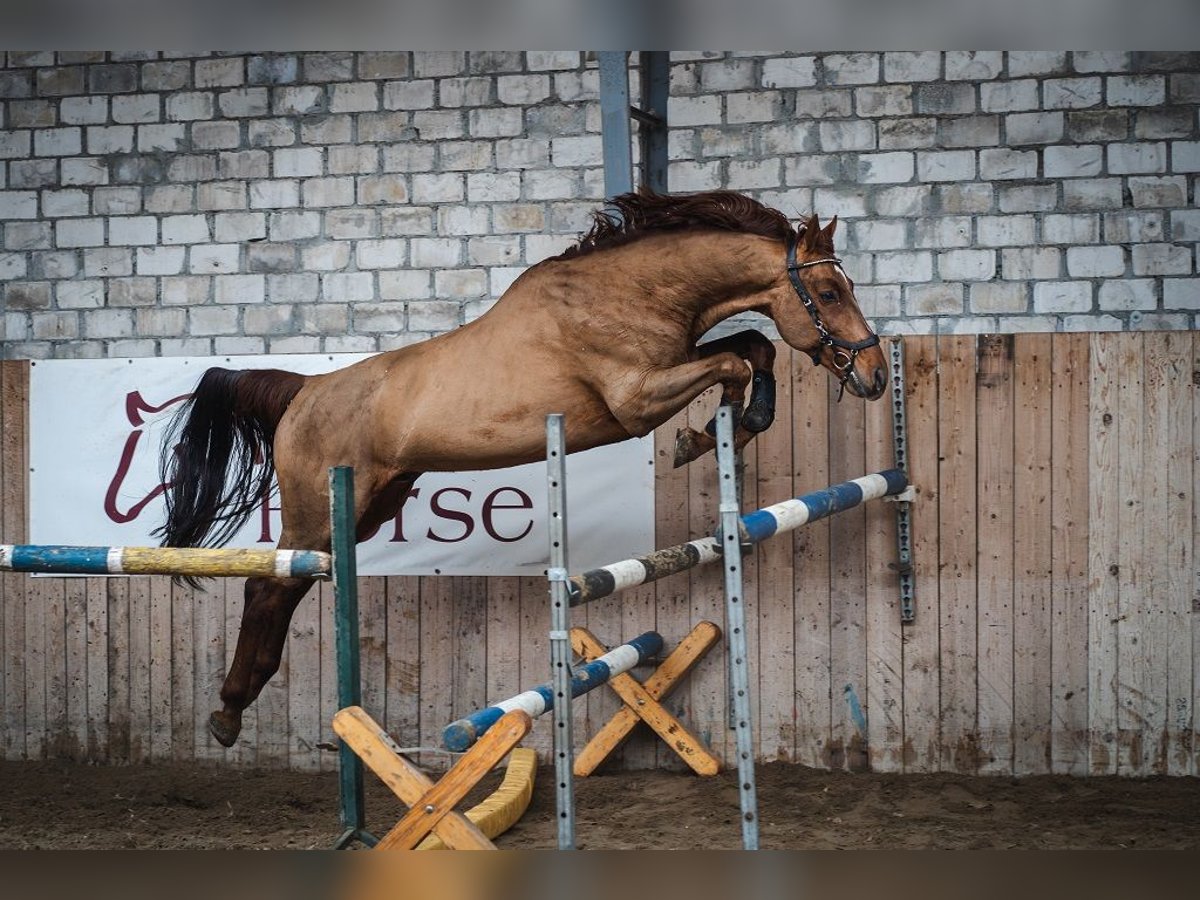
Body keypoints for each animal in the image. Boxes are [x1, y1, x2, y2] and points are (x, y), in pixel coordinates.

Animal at [157, 188, 892, 748]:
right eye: (829, 292)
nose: (876, 376)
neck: (633, 292)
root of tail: (304, 391)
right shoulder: (636, 400)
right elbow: (736, 359)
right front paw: (703, 437)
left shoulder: (676, 364)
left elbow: (752, 346)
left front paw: (738, 425)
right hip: (319, 508)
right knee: (267, 586)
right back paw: (228, 710)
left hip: (369, 507)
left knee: (290, 587)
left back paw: (235, 709)